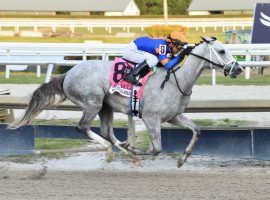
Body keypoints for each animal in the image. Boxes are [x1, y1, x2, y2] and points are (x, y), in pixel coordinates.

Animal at [9, 37, 244, 167]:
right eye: (222, 51)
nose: (239, 69)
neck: (176, 80)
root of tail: (68, 73)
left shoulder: (174, 116)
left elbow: (197, 131)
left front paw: (182, 159)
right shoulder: (151, 118)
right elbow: (156, 149)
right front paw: (137, 150)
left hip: (105, 107)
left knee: (107, 132)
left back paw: (125, 150)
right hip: (92, 103)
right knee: (83, 127)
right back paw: (114, 151)